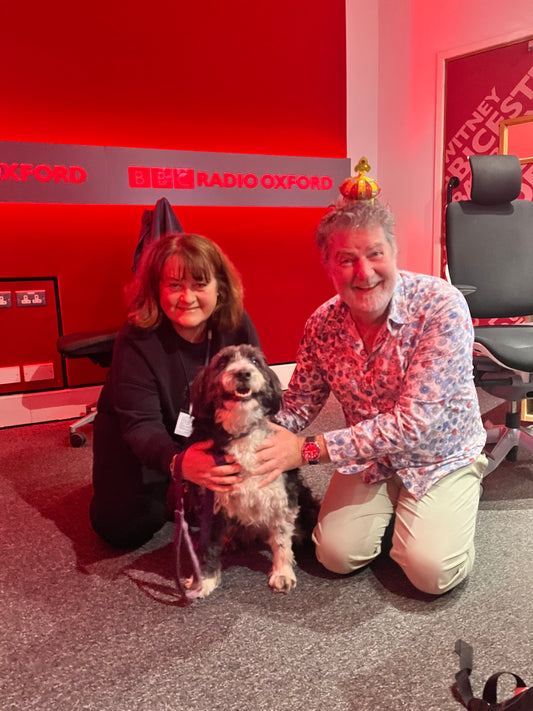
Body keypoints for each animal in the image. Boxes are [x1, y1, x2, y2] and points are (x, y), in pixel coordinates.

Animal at [185, 342, 318, 596]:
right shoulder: (211, 501)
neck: (241, 430)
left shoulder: (281, 496)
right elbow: (208, 545)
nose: (243, 373)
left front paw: (282, 573)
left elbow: (281, 539)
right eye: (223, 362)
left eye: (255, 361)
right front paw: (204, 579)